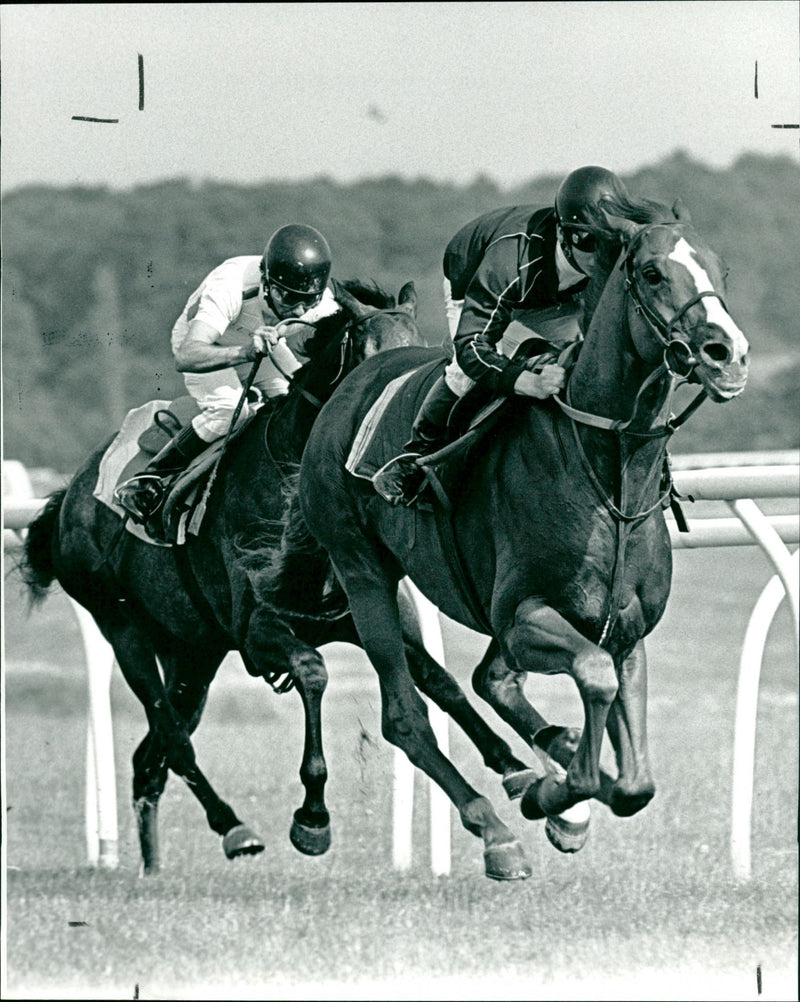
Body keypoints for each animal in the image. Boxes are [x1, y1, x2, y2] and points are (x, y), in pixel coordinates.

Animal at [298, 197, 753, 877]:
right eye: (650, 274)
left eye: (721, 271)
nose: (729, 353)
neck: (610, 472)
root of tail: (349, 385)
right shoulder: (524, 615)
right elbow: (593, 676)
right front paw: (556, 793)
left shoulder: (626, 630)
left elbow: (636, 781)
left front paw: (569, 787)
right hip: (363, 571)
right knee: (407, 716)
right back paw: (500, 829)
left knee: (491, 681)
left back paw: (544, 769)